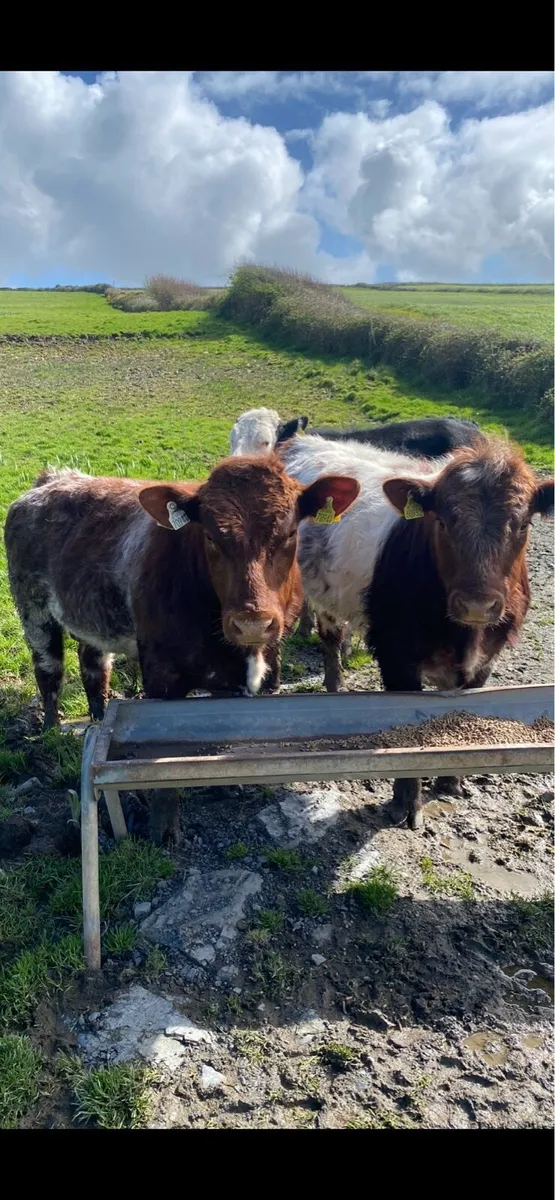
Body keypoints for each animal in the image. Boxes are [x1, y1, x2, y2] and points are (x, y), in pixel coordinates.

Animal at [5, 457, 359, 844]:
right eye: (211, 536)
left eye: (290, 534)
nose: (252, 623)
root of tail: (53, 479)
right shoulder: (161, 676)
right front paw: (163, 828)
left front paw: (225, 784)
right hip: (34, 609)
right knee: (48, 671)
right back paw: (51, 730)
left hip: (92, 615)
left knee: (93, 666)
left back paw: (98, 718)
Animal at [278, 431, 554, 829]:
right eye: (442, 522)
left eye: (523, 525)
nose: (477, 605)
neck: (463, 637)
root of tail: (300, 439)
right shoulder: (395, 654)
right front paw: (406, 804)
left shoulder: (486, 661)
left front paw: (451, 782)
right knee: (328, 635)